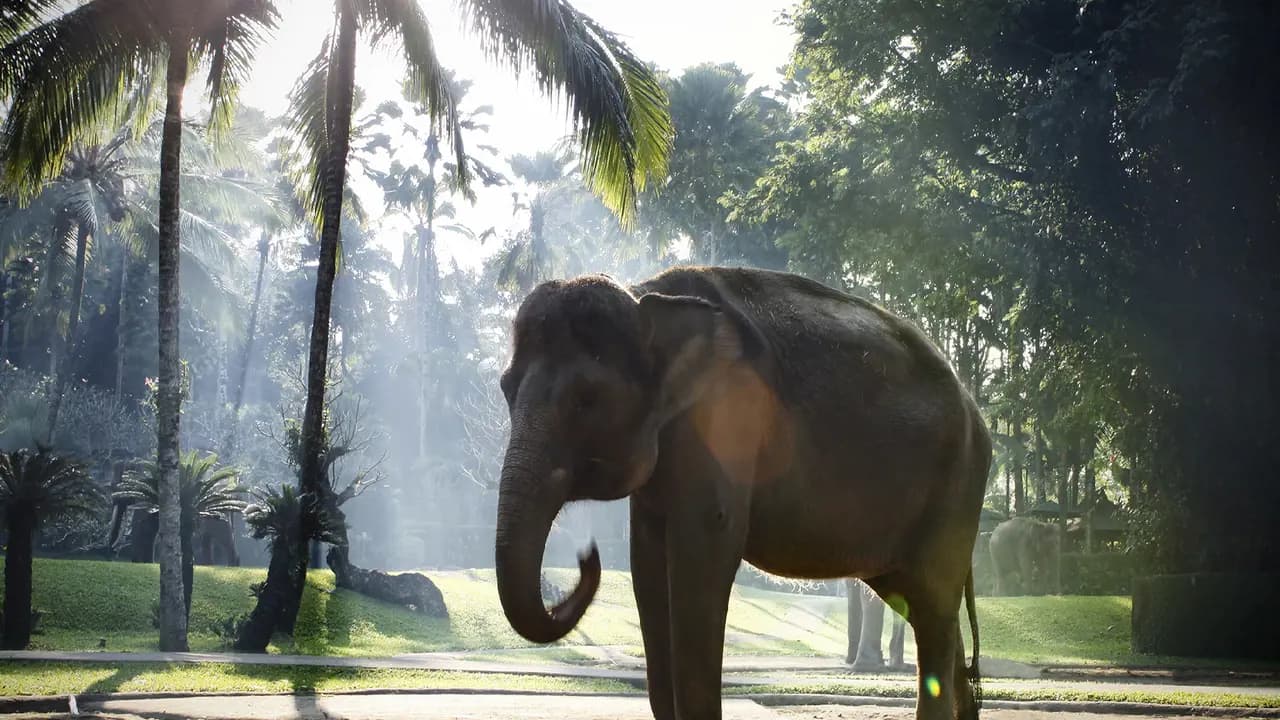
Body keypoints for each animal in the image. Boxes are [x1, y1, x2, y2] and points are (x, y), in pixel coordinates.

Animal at [492, 267, 991, 720]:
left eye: (586, 399)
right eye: (505, 389)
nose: (586, 555)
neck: (646, 295)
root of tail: (973, 405)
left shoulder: (726, 418)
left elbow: (704, 550)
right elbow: (648, 565)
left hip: (958, 487)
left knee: (933, 608)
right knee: (928, 608)